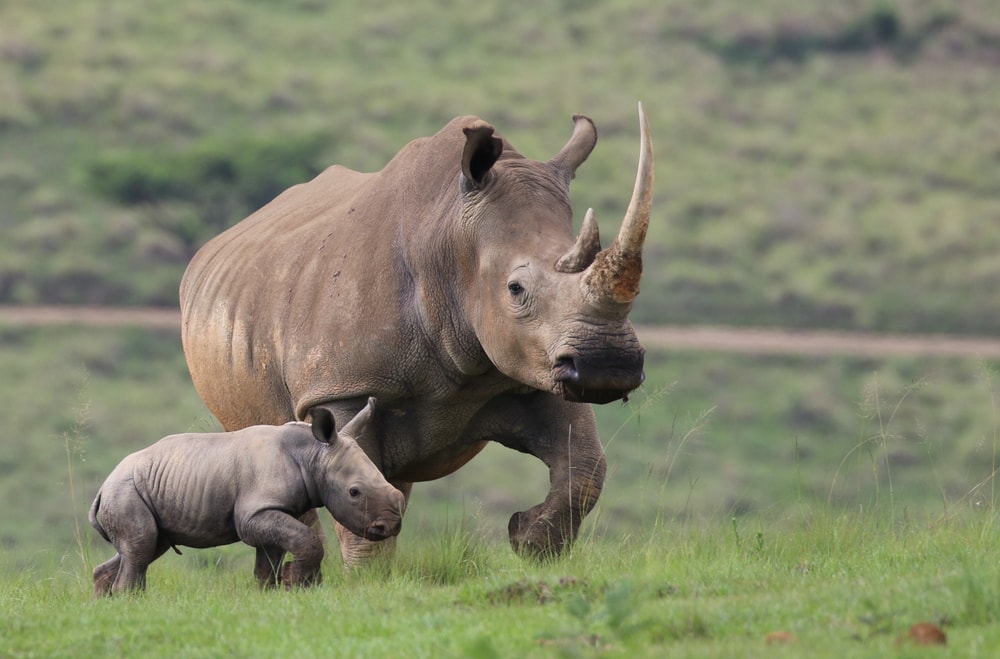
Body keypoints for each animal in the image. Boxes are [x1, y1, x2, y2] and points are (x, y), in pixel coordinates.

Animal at [89, 399, 404, 595]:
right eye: (354, 492)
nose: (389, 526)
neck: (312, 454)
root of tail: (102, 489)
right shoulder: (255, 513)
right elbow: (305, 539)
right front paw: (298, 583)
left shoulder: (272, 511)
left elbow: (269, 563)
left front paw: (272, 592)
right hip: (124, 491)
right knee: (141, 546)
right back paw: (128, 601)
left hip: (137, 490)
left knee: (147, 547)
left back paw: (108, 604)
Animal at [180, 104, 653, 565]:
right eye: (515, 289)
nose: (609, 366)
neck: (448, 241)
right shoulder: (340, 385)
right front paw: (369, 580)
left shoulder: (537, 366)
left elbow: (586, 467)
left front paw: (530, 541)